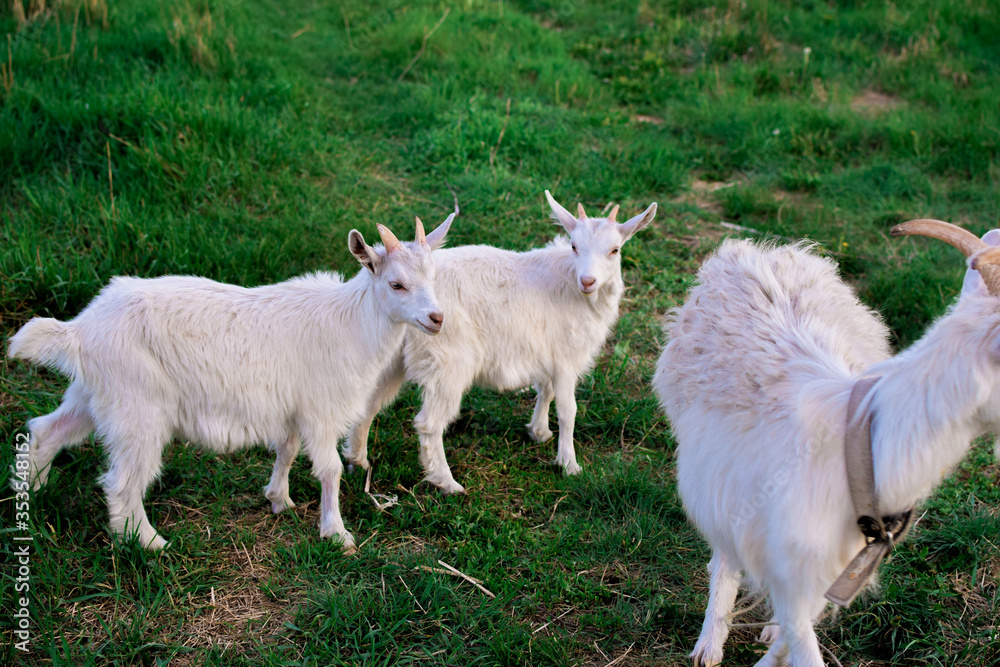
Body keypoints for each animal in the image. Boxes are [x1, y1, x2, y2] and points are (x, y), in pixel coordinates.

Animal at [8, 216, 453, 551]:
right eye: (396, 284)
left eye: (434, 277)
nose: (437, 319)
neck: (351, 323)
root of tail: (79, 329)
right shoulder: (320, 410)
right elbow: (330, 470)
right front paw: (336, 533)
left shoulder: (291, 407)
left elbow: (287, 450)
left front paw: (279, 500)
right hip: (137, 407)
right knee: (122, 481)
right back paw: (148, 543)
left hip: (93, 394)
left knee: (46, 431)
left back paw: (32, 494)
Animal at [327, 191, 656, 494]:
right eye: (574, 246)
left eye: (615, 250)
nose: (588, 281)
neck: (569, 284)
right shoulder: (565, 357)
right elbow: (567, 409)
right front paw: (569, 464)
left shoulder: (545, 351)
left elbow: (545, 390)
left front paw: (539, 432)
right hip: (448, 362)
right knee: (428, 424)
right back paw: (447, 483)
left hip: (389, 359)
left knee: (368, 406)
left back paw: (358, 462)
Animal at [653, 221, 1000, 666]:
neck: (859, 447)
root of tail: (751, 250)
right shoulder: (788, 545)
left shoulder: (834, 563)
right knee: (723, 552)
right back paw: (709, 644)